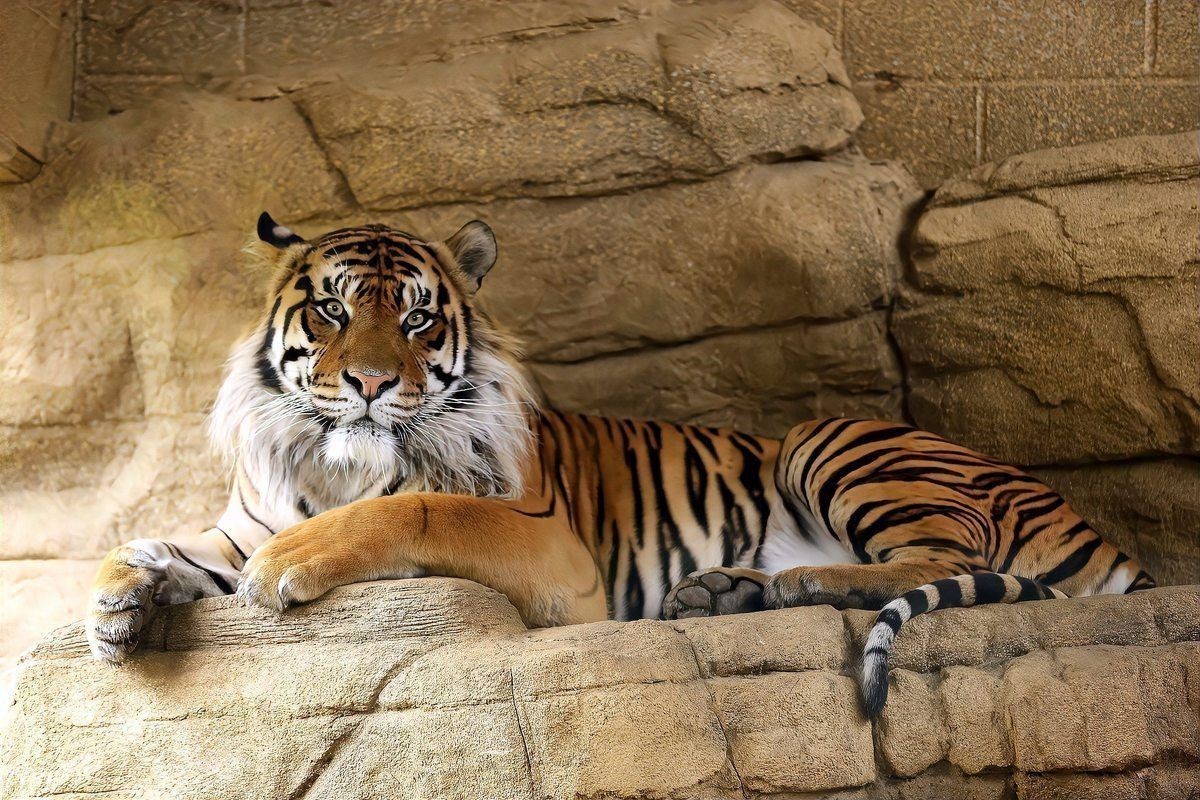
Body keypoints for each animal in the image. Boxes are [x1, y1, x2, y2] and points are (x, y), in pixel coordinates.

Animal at [86, 213, 1156, 716]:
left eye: (420, 319)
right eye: (332, 309)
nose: (373, 384)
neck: (331, 465)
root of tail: (1095, 530)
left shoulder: (551, 548)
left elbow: (413, 511)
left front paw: (288, 568)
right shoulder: (234, 525)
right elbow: (157, 545)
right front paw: (116, 605)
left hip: (836, 438)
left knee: (939, 558)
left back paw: (789, 584)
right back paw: (726, 594)